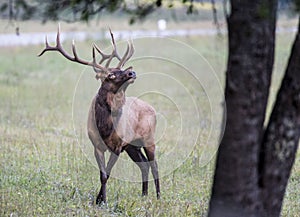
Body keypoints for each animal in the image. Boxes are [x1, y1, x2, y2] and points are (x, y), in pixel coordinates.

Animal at [38, 26, 161, 204]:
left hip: (148, 138)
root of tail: (152, 108)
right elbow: (102, 174)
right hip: (132, 145)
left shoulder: (117, 146)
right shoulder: (97, 145)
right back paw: (144, 194)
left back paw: (158, 196)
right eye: (111, 75)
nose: (132, 73)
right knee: (144, 165)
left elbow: (107, 173)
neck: (105, 127)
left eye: (122, 69)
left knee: (154, 166)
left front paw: (102, 200)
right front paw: (99, 200)